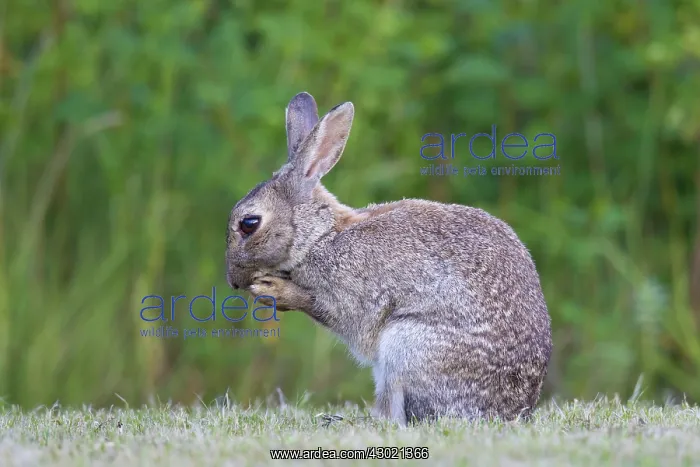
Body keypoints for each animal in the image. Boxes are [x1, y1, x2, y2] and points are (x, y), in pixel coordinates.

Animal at [225, 92, 553, 426]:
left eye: (249, 223)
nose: (233, 281)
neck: (320, 237)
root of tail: (513, 410)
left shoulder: (353, 296)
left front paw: (272, 290)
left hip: (406, 348)